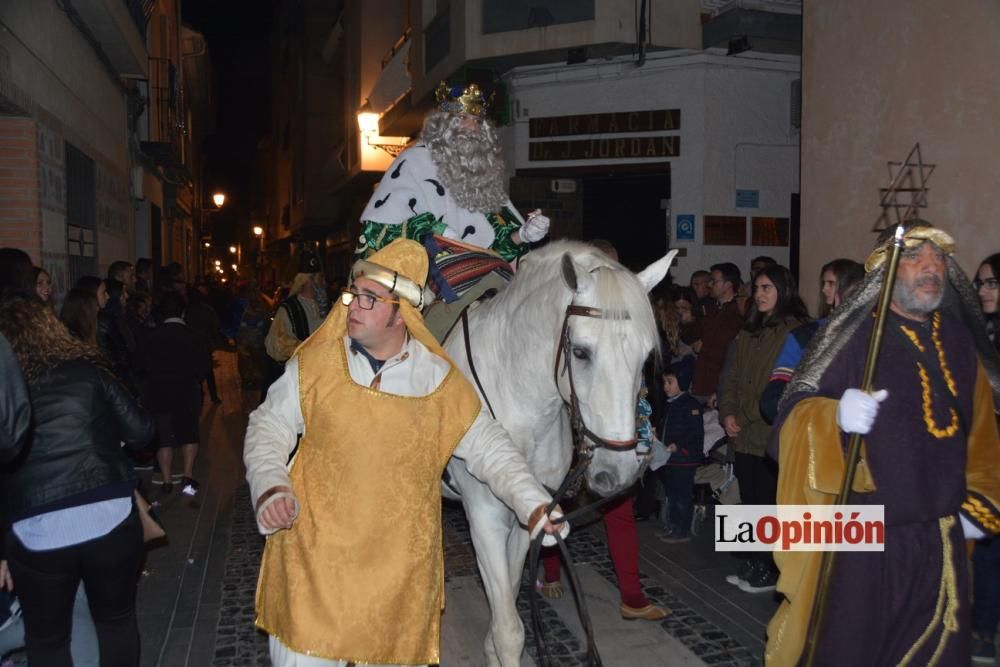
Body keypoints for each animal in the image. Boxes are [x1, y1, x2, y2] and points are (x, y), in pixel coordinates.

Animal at [442, 241, 676, 667]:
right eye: (580, 352)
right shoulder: (484, 517)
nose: (617, 471)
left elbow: (509, 599)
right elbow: (509, 631)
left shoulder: (531, 516)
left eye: (647, 355)